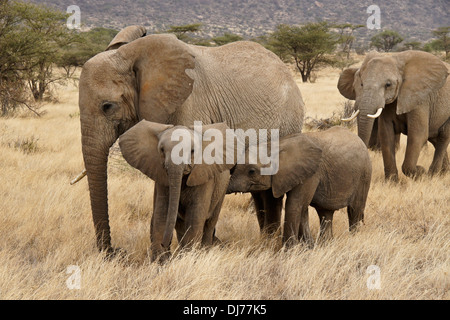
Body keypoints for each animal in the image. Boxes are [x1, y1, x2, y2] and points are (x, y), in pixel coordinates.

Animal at [118, 120, 234, 262]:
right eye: (162, 150)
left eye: (193, 151)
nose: (165, 243)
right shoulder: (162, 177)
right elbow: (162, 213)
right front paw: (160, 261)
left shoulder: (204, 177)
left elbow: (195, 217)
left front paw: (190, 258)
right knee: (179, 225)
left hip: (221, 189)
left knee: (209, 223)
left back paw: (205, 251)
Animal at [227, 126, 370, 246]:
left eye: (251, 171)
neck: (275, 146)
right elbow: (282, 205)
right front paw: (305, 247)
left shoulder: (311, 173)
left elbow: (294, 204)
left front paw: (288, 251)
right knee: (325, 213)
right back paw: (326, 244)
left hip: (364, 175)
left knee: (354, 210)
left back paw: (353, 240)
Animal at [340, 50, 448, 180]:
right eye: (361, 84)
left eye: (388, 84)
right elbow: (386, 134)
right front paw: (392, 181)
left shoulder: (421, 99)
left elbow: (418, 134)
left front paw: (421, 171)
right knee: (435, 138)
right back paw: (443, 173)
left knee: (443, 137)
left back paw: (433, 174)